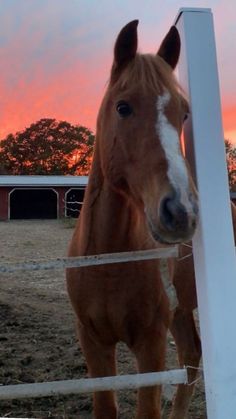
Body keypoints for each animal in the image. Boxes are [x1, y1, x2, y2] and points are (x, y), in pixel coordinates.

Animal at [67, 21, 199, 418]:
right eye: (123, 107)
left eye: (183, 113)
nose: (181, 211)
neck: (109, 260)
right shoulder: (93, 342)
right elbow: (105, 408)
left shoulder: (150, 343)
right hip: (181, 315)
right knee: (191, 359)